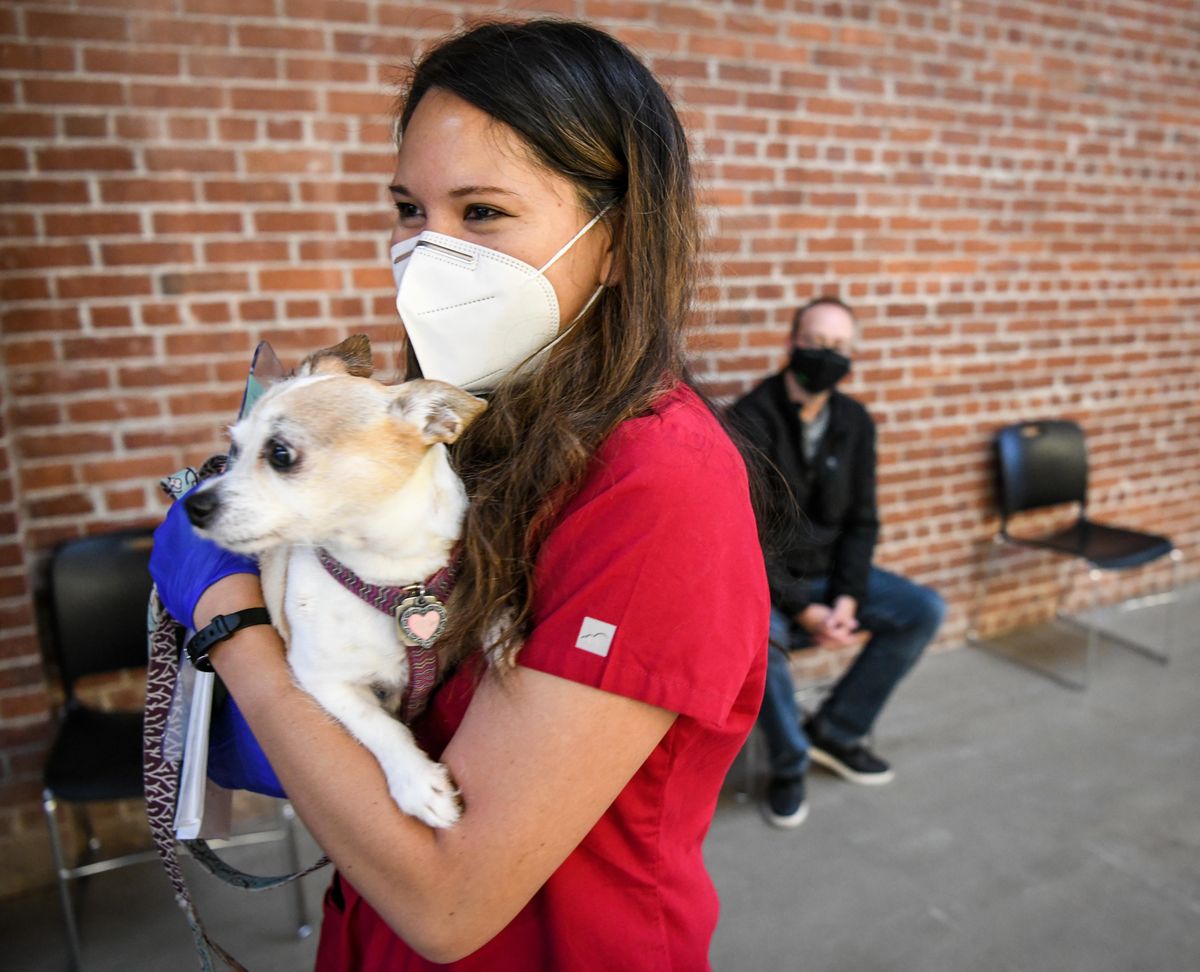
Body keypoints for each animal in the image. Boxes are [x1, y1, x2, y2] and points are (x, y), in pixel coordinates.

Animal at [184, 336, 484, 825]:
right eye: (234, 451)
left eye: (280, 453)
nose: (193, 506)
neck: (394, 581)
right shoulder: (322, 680)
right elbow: (379, 726)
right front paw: (417, 782)